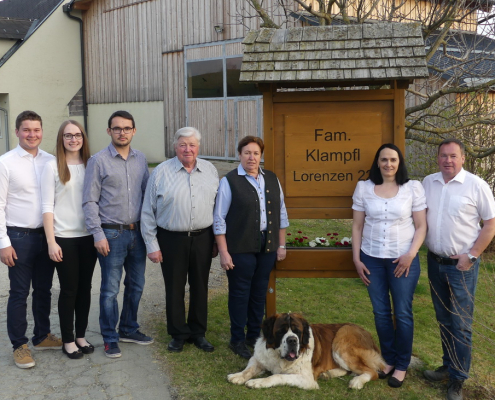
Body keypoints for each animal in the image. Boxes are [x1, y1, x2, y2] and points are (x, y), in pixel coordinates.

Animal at [227, 312, 386, 390]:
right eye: (281, 331)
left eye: (297, 331)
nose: (292, 340)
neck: (279, 357)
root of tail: (367, 333)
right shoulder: (258, 358)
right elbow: (249, 369)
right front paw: (238, 376)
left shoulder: (306, 378)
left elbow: (277, 376)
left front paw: (257, 382)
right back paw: (329, 373)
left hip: (342, 340)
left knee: (373, 372)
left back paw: (357, 381)